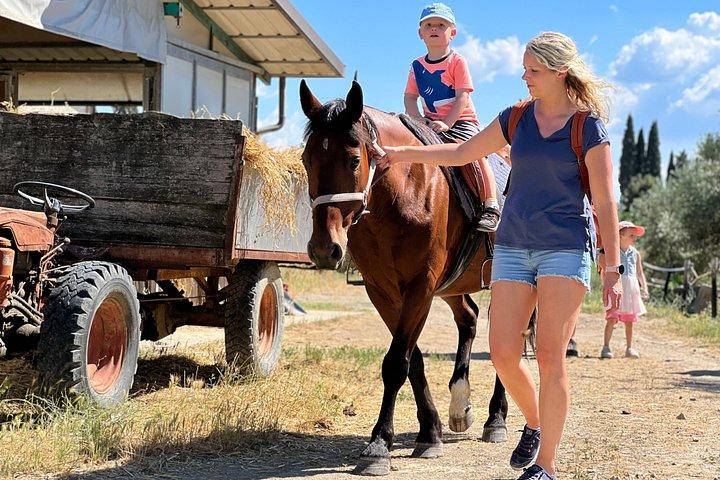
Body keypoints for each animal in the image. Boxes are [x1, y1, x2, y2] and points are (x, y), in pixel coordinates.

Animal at [300, 80, 509, 476]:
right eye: (306, 159)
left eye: (354, 159)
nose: (324, 249)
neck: (402, 195)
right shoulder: (382, 291)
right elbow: (413, 360)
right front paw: (430, 432)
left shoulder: (420, 286)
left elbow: (397, 362)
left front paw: (379, 445)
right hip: (453, 285)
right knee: (469, 318)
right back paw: (460, 405)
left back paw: (497, 419)